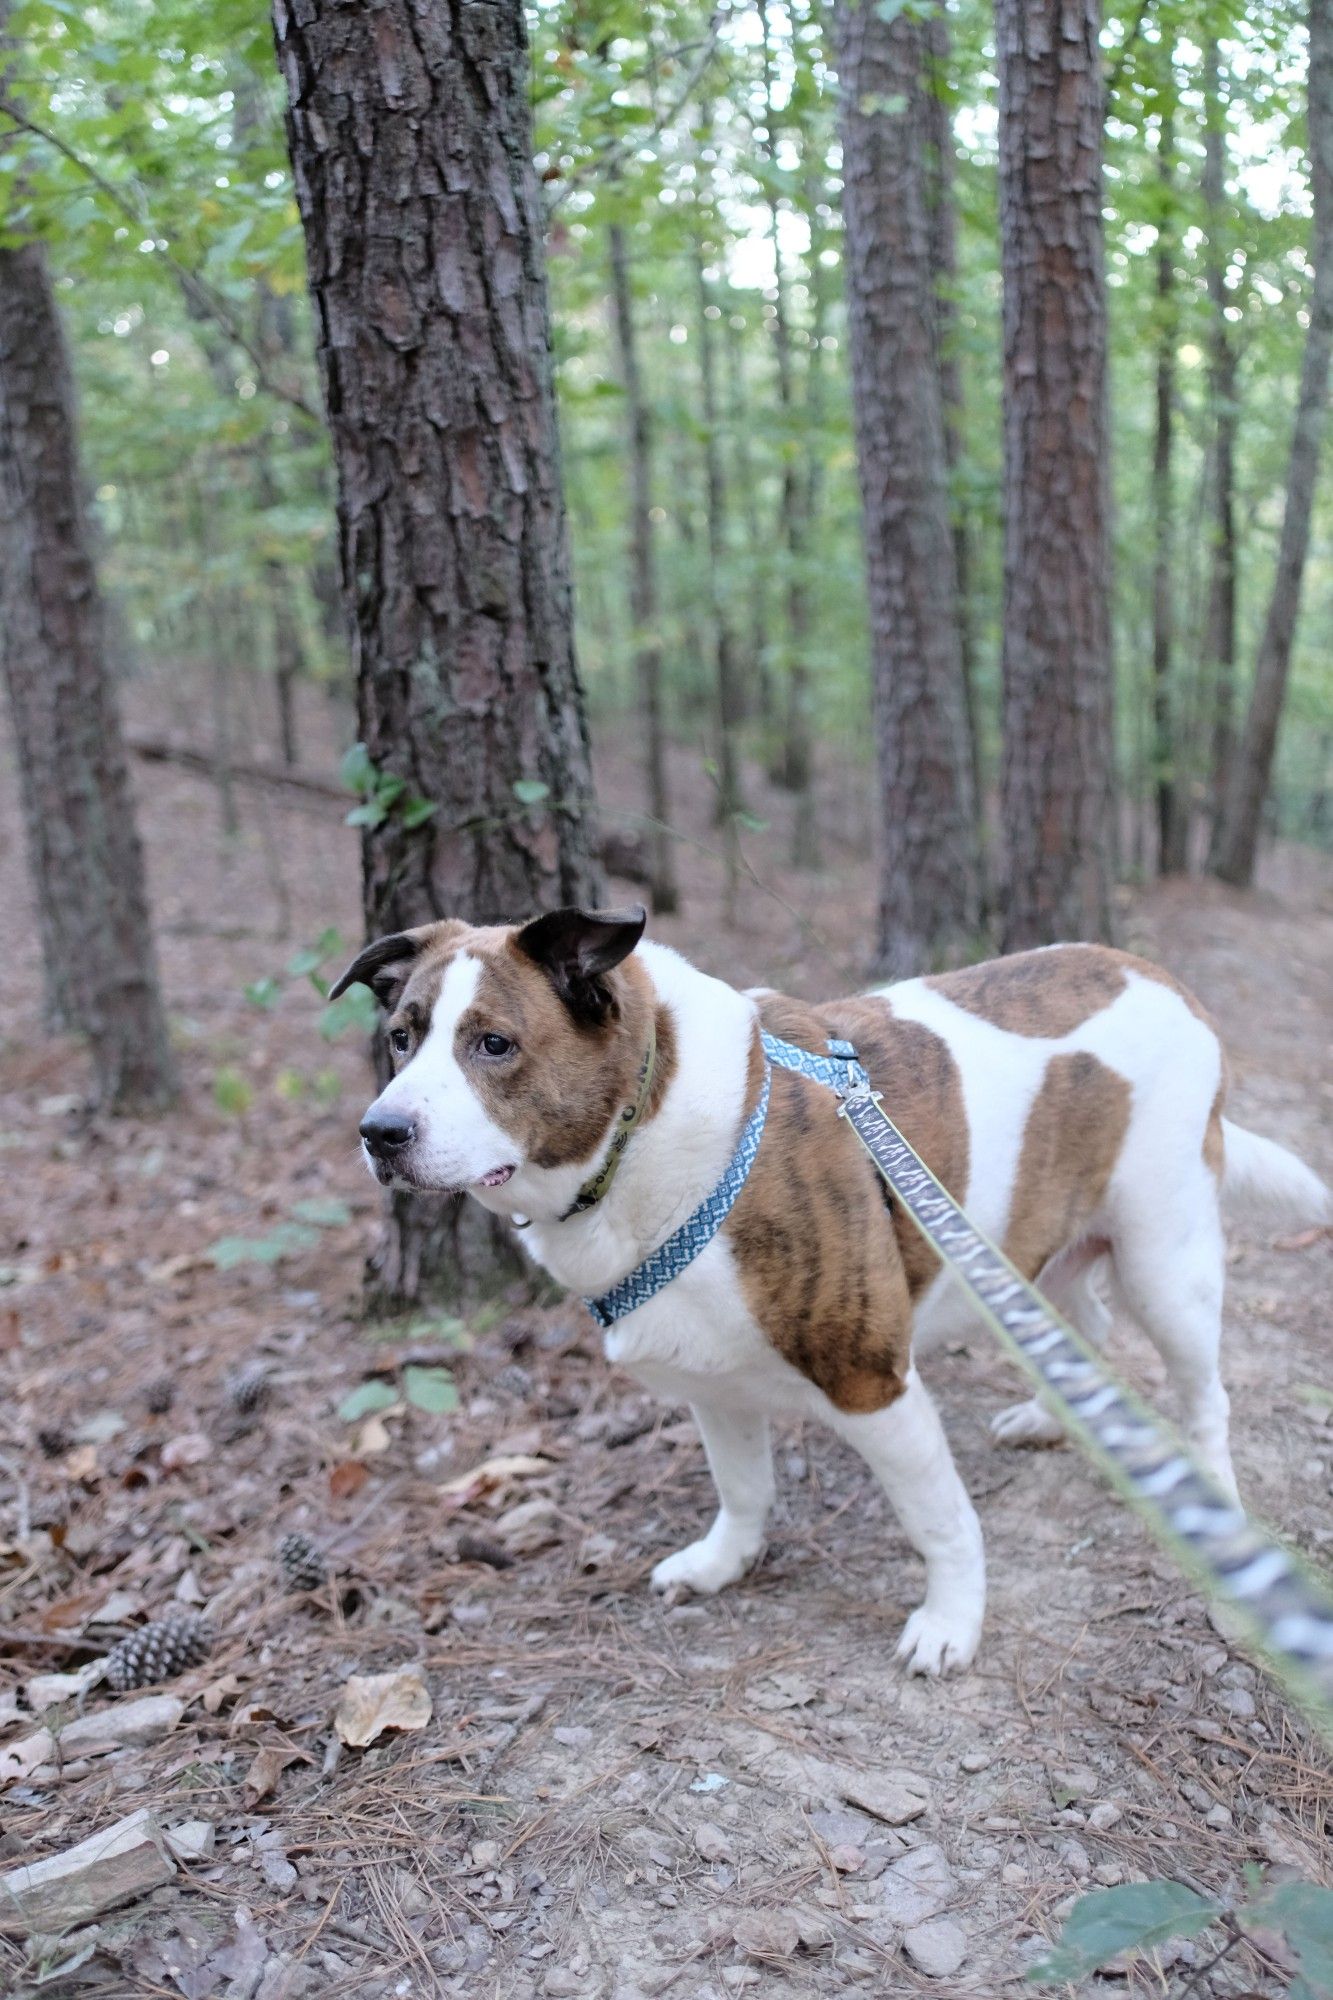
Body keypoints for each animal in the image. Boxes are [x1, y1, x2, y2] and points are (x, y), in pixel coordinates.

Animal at [330, 908, 1320, 1672]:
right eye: (401, 1038)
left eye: (493, 1044)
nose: (379, 1132)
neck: (643, 1120)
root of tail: (1157, 975)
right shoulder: (709, 1379)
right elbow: (742, 1488)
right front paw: (723, 1563)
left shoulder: (872, 1382)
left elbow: (939, 1520)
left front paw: (951, 1623)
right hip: (1036, 1242)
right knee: (1082, 1319)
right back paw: (1053, 1411)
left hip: (1164, 1257)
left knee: (1201, 1392)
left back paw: (1214, 1500)